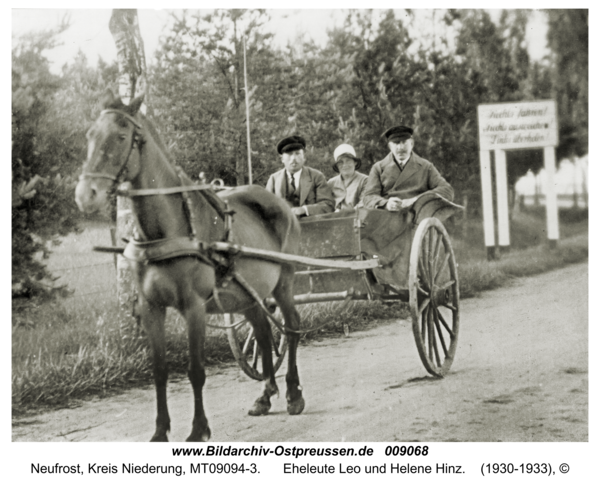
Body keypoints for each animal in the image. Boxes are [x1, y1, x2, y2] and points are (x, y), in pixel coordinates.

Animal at [75, 89, 304, 442]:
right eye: (90, 135)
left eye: (121, 136)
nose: (85, 195)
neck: (167, 230)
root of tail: (282, 205)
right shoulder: (151, 308)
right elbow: (159, 370)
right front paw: (159, 431)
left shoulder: (193, 307)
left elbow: (196, 370)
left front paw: (199, 429)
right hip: (247, 295)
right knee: (264, 334)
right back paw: (265, 394)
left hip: (284, 283)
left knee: (290, 328)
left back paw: (293, 393)